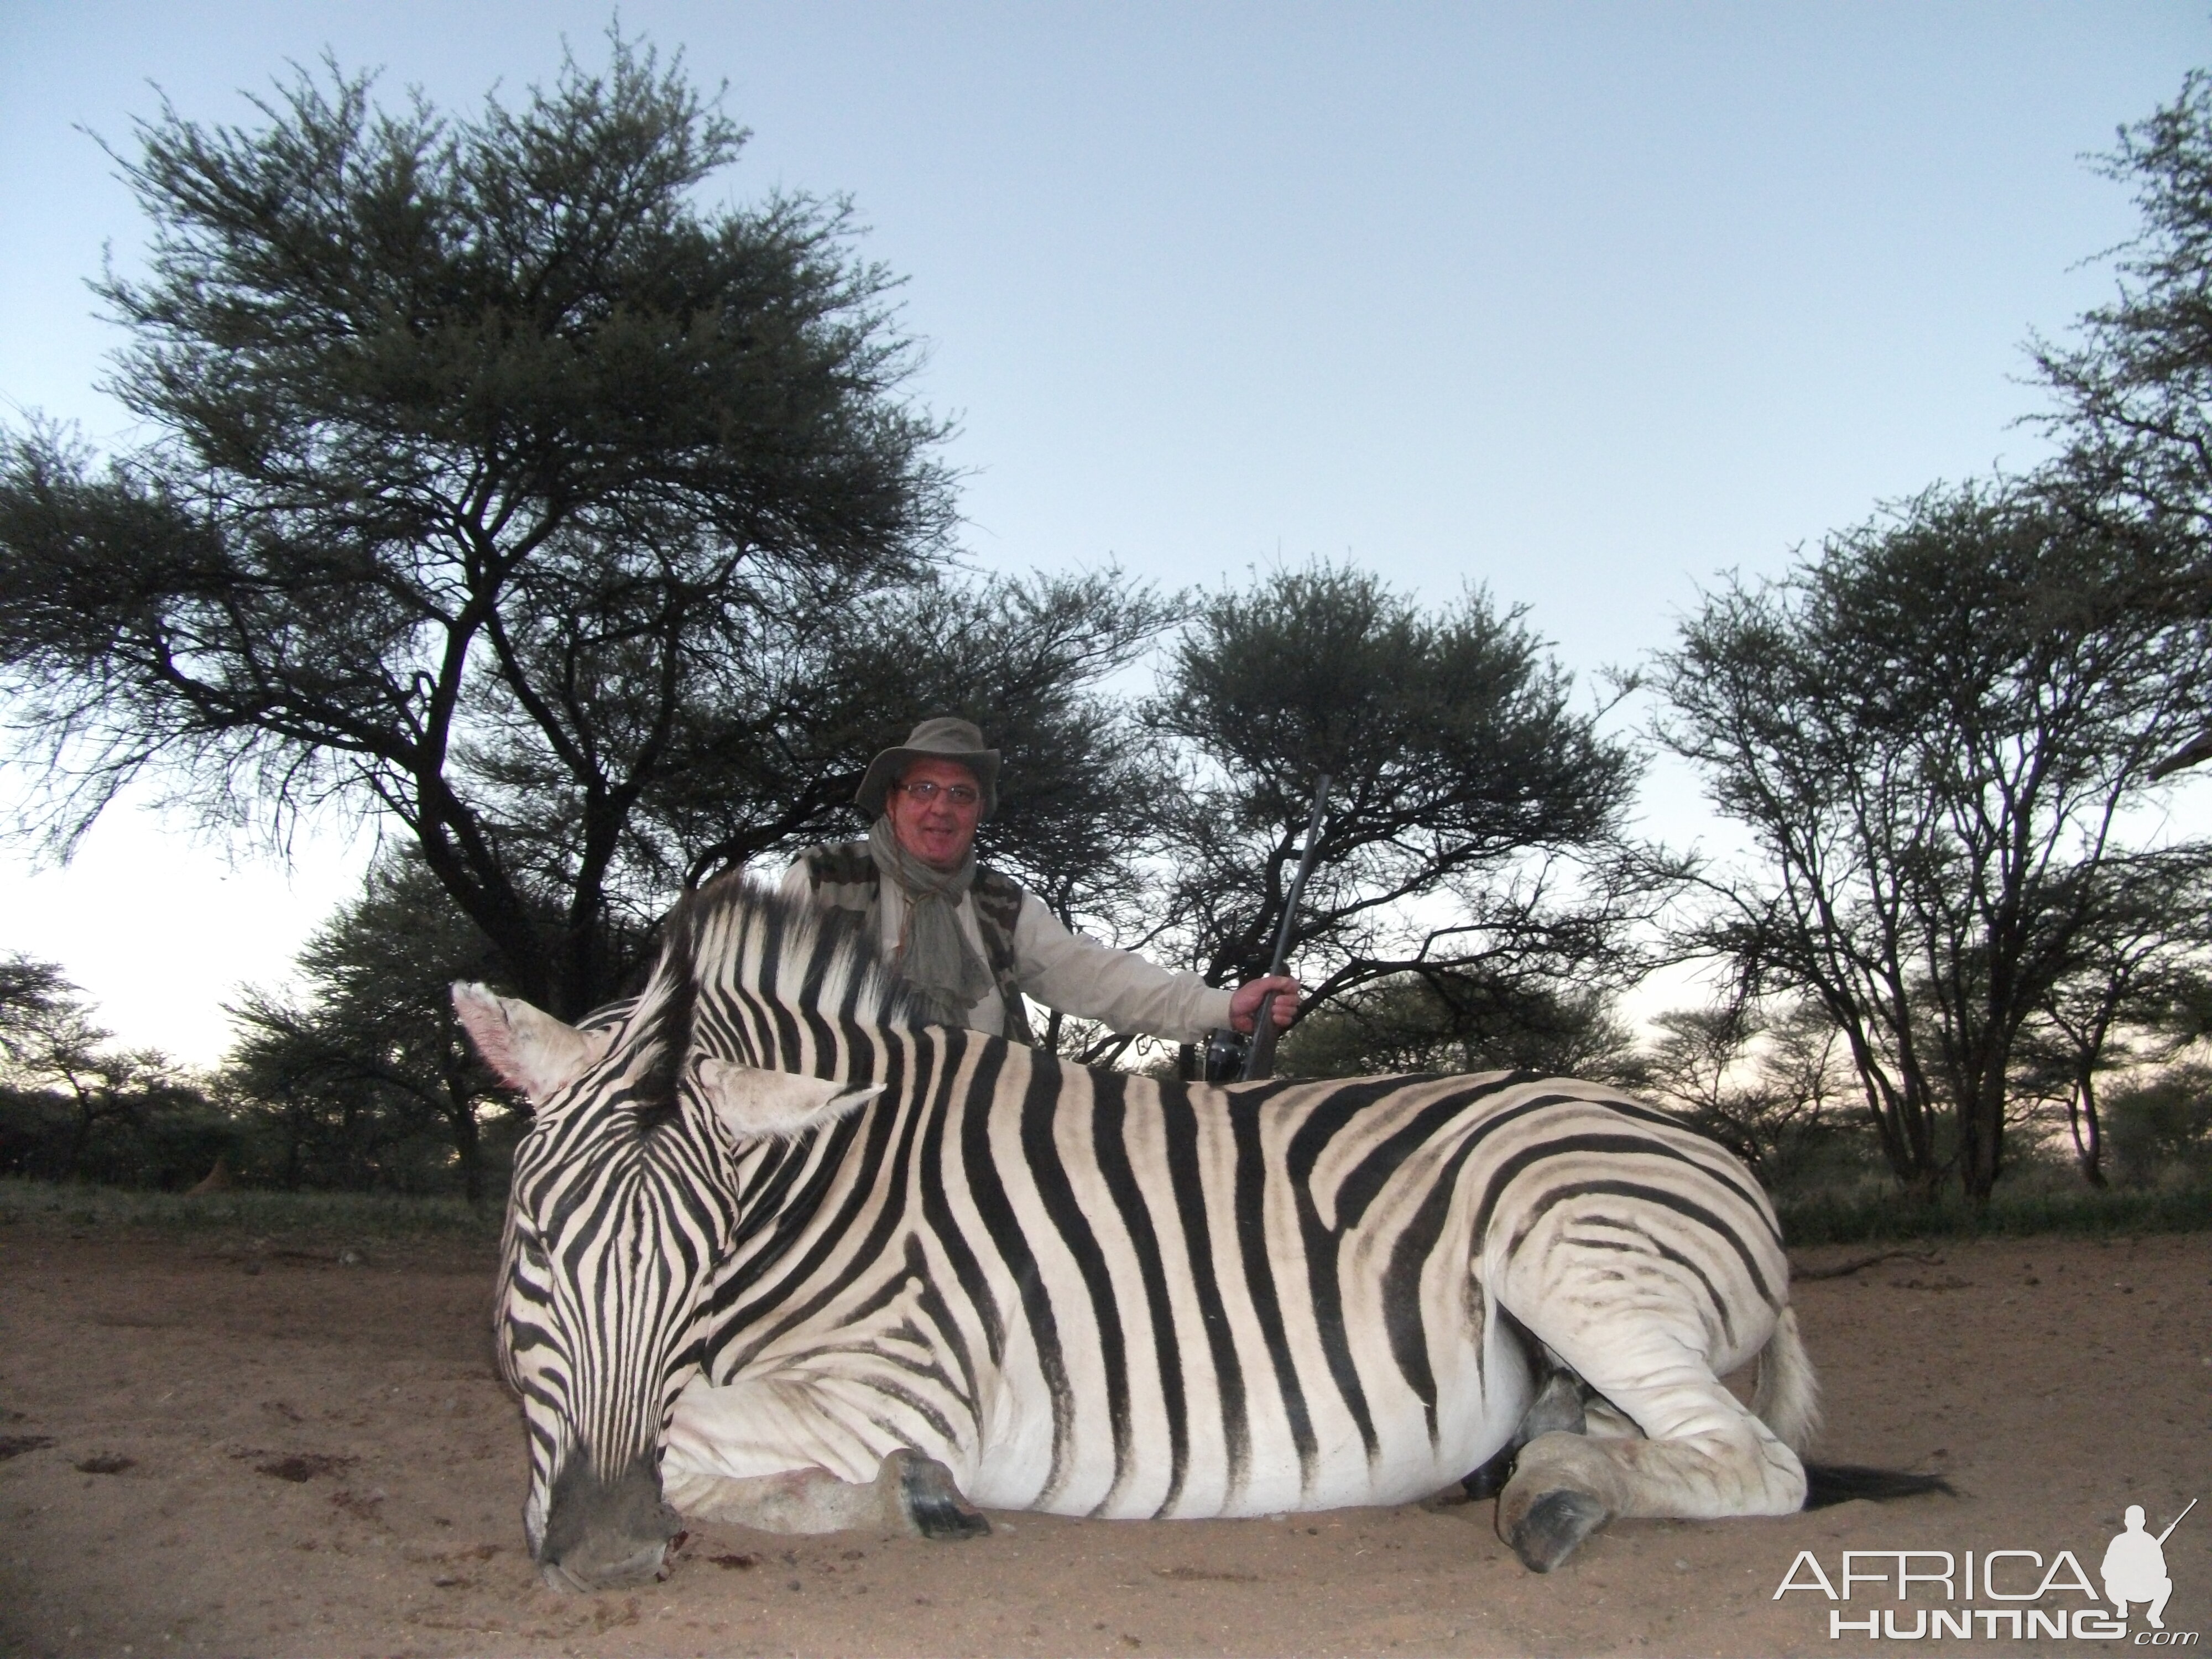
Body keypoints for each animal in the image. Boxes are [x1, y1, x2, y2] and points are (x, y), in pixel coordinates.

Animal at [458, 872, 1947, 1601]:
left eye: (699, 1267)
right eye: (532, 1251)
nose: (605, 1555)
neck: (823, 1185)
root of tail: (1708, 1146)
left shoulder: (901, 1385)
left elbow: (699, 1442)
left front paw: (907, 1495)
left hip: (1567, 1255)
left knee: (1753, 1465)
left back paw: (1555, 1492)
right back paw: (1546, 1460)